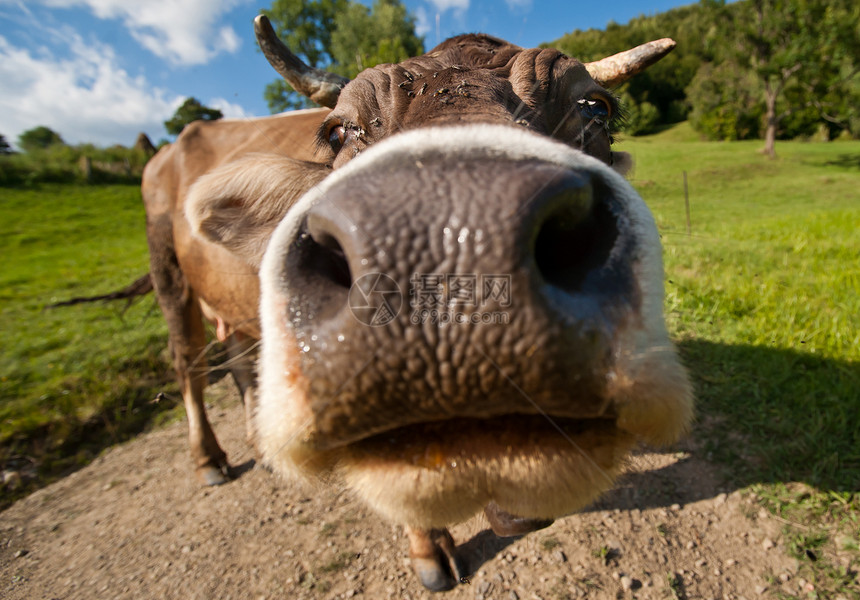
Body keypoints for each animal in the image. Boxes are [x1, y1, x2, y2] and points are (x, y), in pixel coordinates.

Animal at [148, 17, 696, 592]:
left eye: (596, 109)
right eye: (338, 131)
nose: (456, 244)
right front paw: (428, 548)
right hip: (169, 277)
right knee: (187, 364)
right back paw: (210, 460)